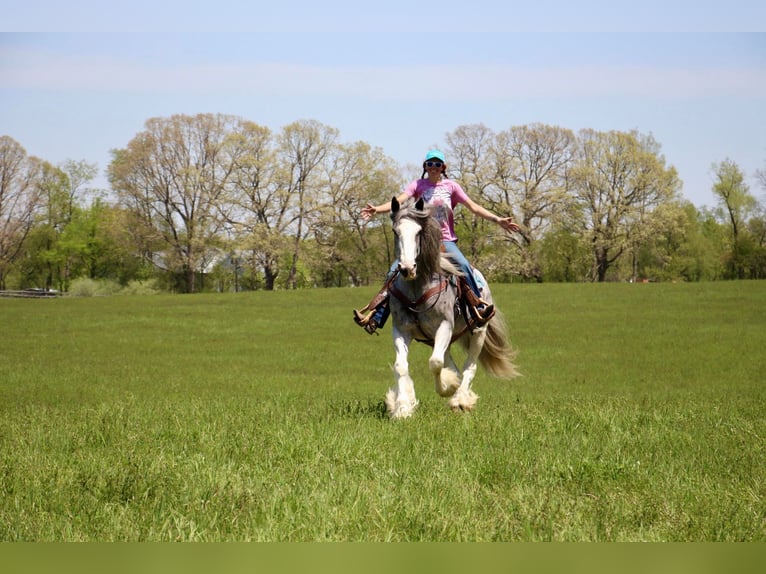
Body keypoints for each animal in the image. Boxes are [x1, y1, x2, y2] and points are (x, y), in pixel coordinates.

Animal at [384, 196, 520, 420]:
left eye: (419, 232)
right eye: (396, 231)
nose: (407, 268)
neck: (416, 288)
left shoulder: (444, 325)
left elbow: (435, 363)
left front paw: (448, 388)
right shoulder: (401, 329)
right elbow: (401, 366)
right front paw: (402, 407)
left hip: (478, 332)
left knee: (469, 366)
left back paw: (461, 399)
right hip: (438, 338)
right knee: (451, 362)